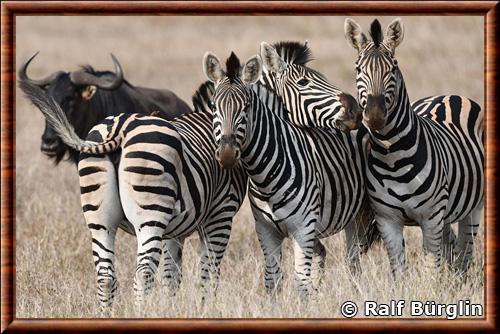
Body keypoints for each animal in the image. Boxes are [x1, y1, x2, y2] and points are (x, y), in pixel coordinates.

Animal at [20, 80, 248, 314]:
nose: (229, 157)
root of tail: (120, 128)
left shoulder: (175, 231)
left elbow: (172, 276)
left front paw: (171, 309)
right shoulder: (221, 215)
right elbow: (208, 273)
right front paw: (206, 309)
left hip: (101, 219)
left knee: (105, 276)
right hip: (151, 216)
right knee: (143, 273)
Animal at [203, 52, 372, 300]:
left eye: (247, 107)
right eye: (214, 106)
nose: (226, 154)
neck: (265, 175)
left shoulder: (303, 229)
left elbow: (300, 282)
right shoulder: (266, 231)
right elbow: (272, 280)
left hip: (365, 214)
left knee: (358, 260)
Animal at [344, 18, 484, 278]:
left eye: (393, 68)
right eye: (358, 69)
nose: (375, 115)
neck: (392, 158)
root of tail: (448, 95)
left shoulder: (430, 218)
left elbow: (430, 269)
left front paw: (431, 287)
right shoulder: (387, 220)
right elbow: (399, 270)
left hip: (473, 207)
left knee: (464, 253)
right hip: (445, 214)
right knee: (451, 248)